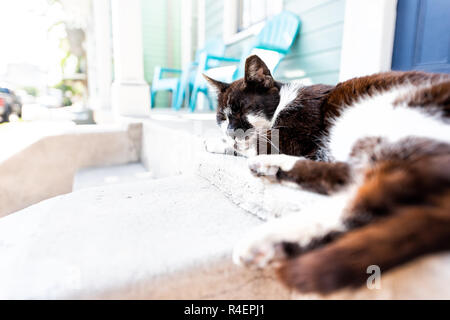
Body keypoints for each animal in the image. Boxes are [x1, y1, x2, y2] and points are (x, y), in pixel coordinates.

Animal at [205, 55, 450, 296]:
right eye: (222, 117)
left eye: (243, 109)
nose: (230, 131)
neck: (284, 102)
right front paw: (220, 141)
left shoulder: (291, 140)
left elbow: (253, 144)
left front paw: (220, 142)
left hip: (384, 117)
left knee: (371, 194)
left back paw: (264, 238)